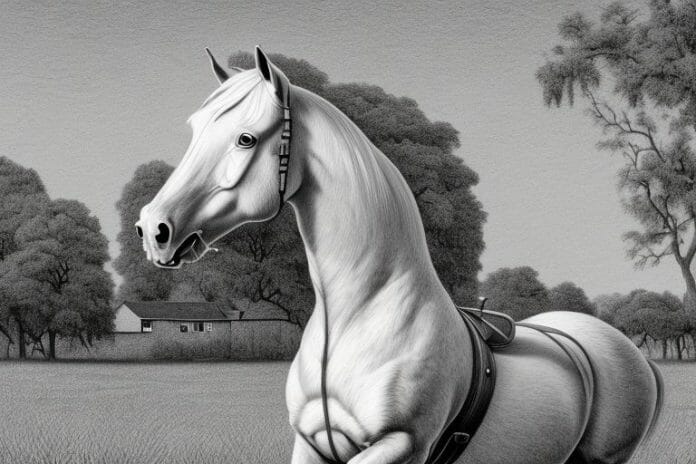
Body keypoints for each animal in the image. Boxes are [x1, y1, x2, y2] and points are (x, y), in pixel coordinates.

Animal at [136, 47, 663, 464]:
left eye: (246, 138)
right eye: (194, 129)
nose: (154, 229)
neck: (359, 316)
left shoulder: (399, 446)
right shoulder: (311, 444)